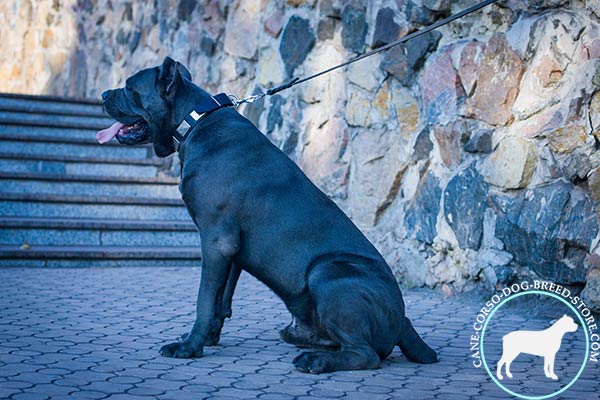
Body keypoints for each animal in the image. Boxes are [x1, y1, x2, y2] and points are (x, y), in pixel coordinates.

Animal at [97, 57, 436, 374]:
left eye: (129, 87)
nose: (103, 94)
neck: (195, 122)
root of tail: (402, 320)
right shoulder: (231, 251)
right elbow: (221, 301)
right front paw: (207, 338)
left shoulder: (215, 240)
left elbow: (204, 300)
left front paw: (189, 346)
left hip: (326, 271)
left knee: (366, 355)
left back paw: (316, 361)